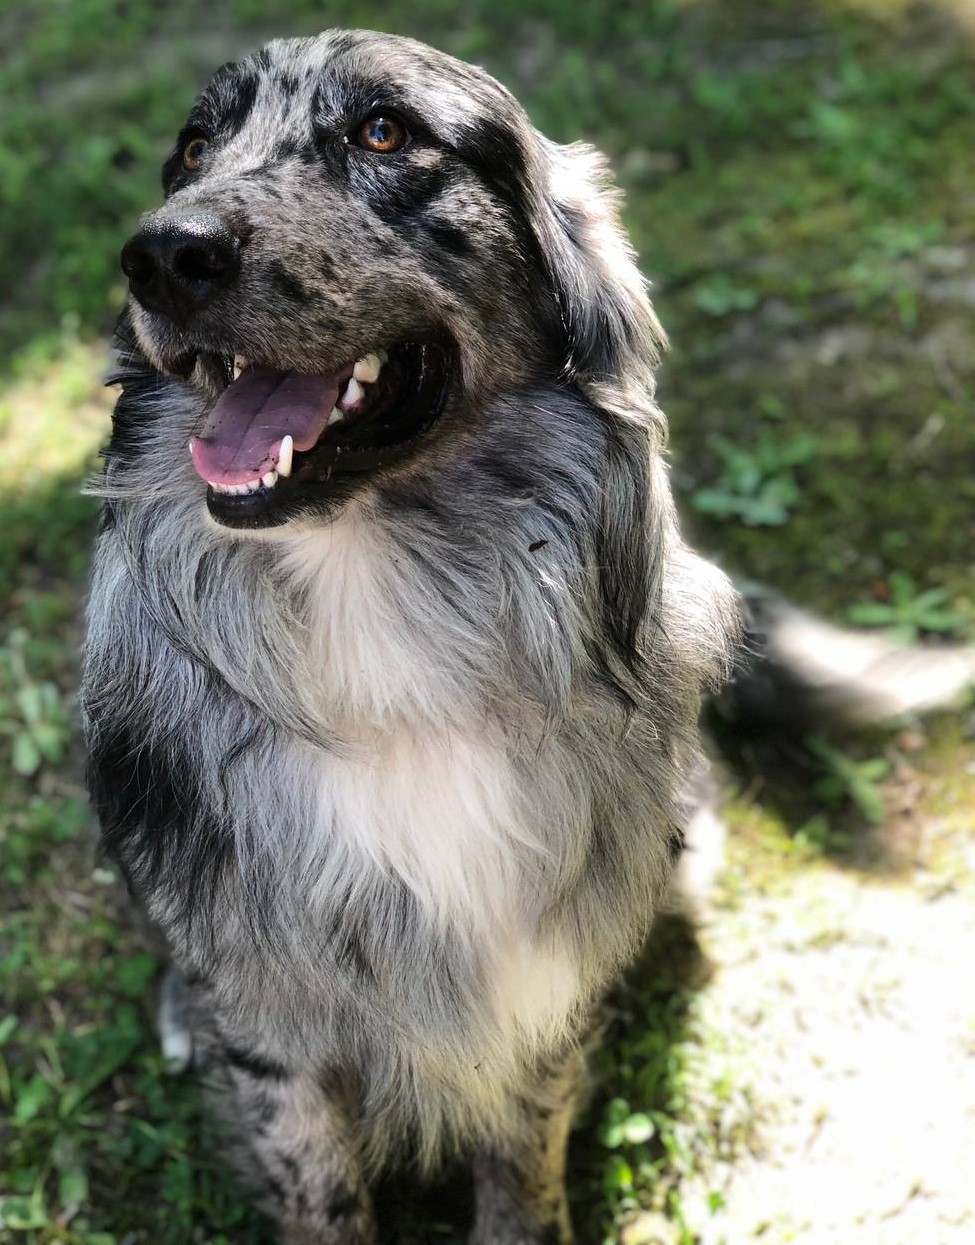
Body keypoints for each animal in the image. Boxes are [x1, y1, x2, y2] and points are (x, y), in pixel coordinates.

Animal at [82, 29, 975, 1245]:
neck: (380, 604)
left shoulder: (543, 975)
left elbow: (525, 1150)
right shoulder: (277, 1032)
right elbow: (316, 1185)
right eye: (191, 147)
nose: (161, 256)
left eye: (384, 132)